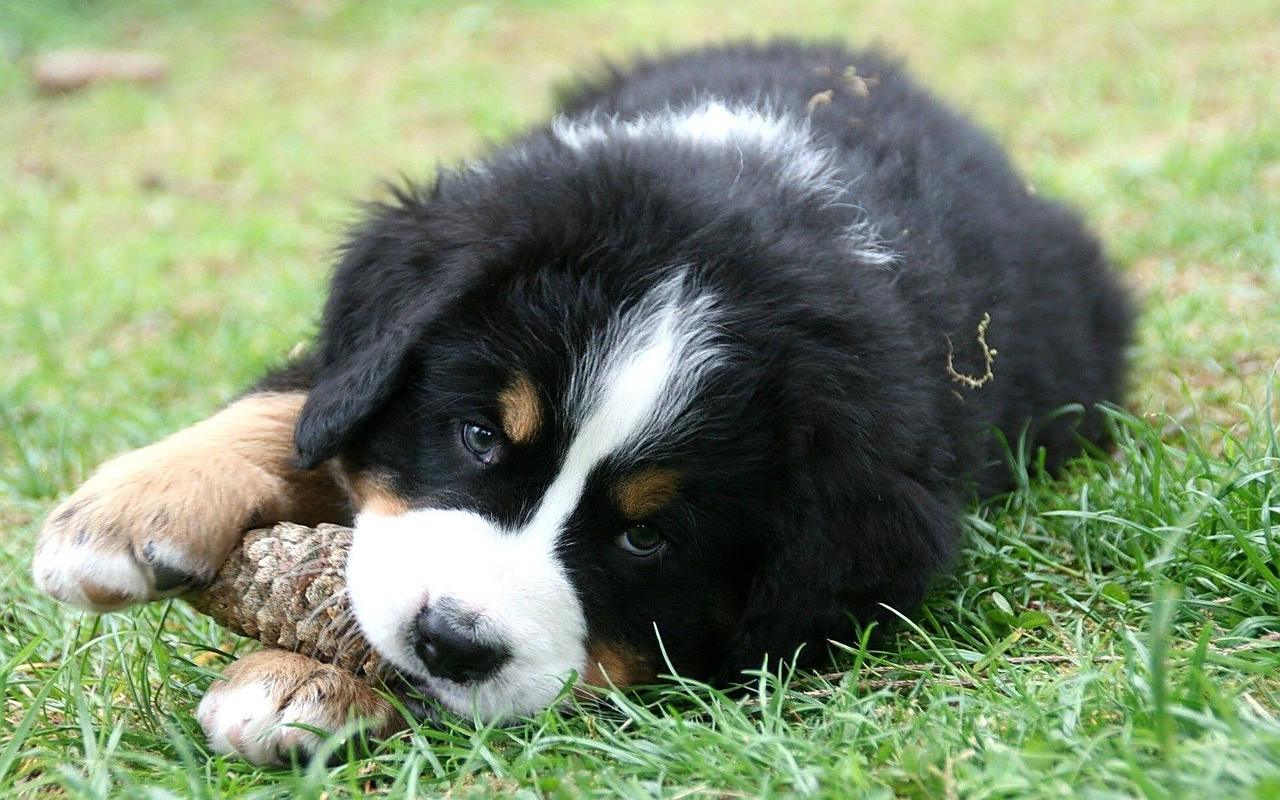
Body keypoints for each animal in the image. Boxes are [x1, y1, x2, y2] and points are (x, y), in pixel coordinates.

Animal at [30, 39, 1131, 762]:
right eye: (478, 436)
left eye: (647, 539)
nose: (451, 641)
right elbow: (298, 404)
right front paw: (123, 514)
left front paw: (301, 681)